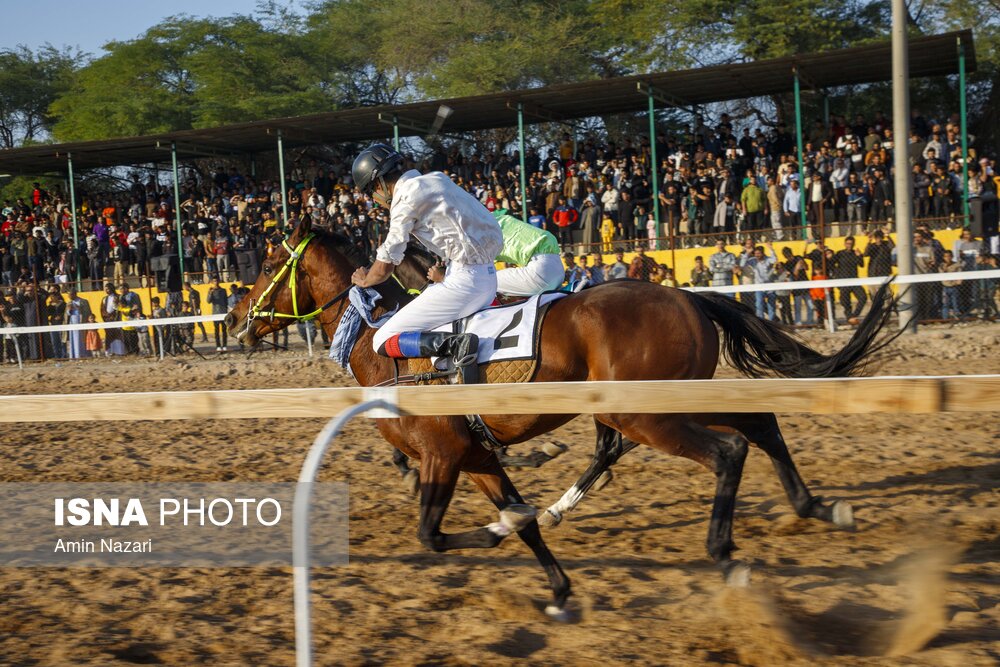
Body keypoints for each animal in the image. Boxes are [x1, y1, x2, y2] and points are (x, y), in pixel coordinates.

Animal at [225, 217, 900, 620]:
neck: (382, 341)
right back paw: (816, 507)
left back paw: (726, 551)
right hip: (675, 397)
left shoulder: (443, 454)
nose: (234, 321)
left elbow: (434, 534)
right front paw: (557, 588)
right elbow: (516, 524)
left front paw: (510, 524)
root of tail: (684, 294)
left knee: (725, 450)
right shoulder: (473, 456)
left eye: (267, 265)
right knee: (756, 424)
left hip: (644, 411)